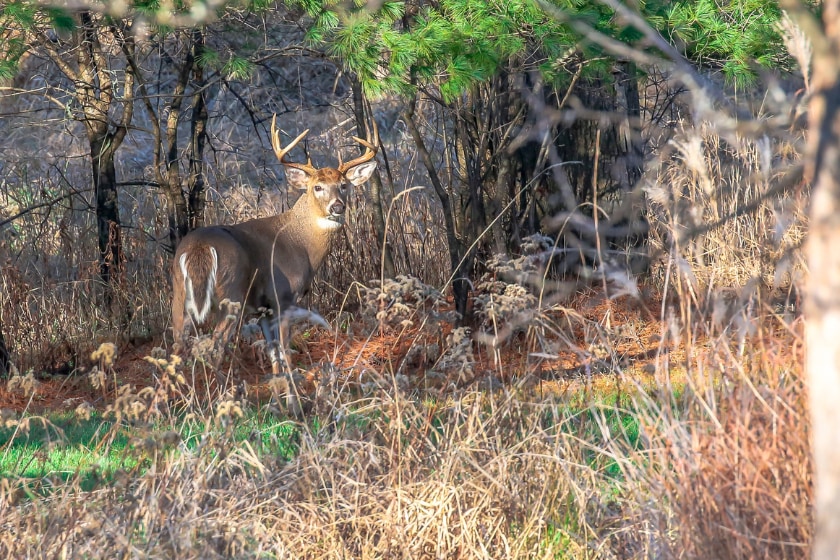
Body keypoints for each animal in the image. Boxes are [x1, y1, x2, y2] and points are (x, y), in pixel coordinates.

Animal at [171, 114, 378, 374]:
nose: (338, 206)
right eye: (317, 187)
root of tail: (200, 248)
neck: (302, 244)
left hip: (179, 294)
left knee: (176, 349)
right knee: (214, 348)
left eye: (344, 185)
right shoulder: (282, 297)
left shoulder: (264, 310)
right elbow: (285, 352)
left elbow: (273, 354)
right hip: (231, 294)